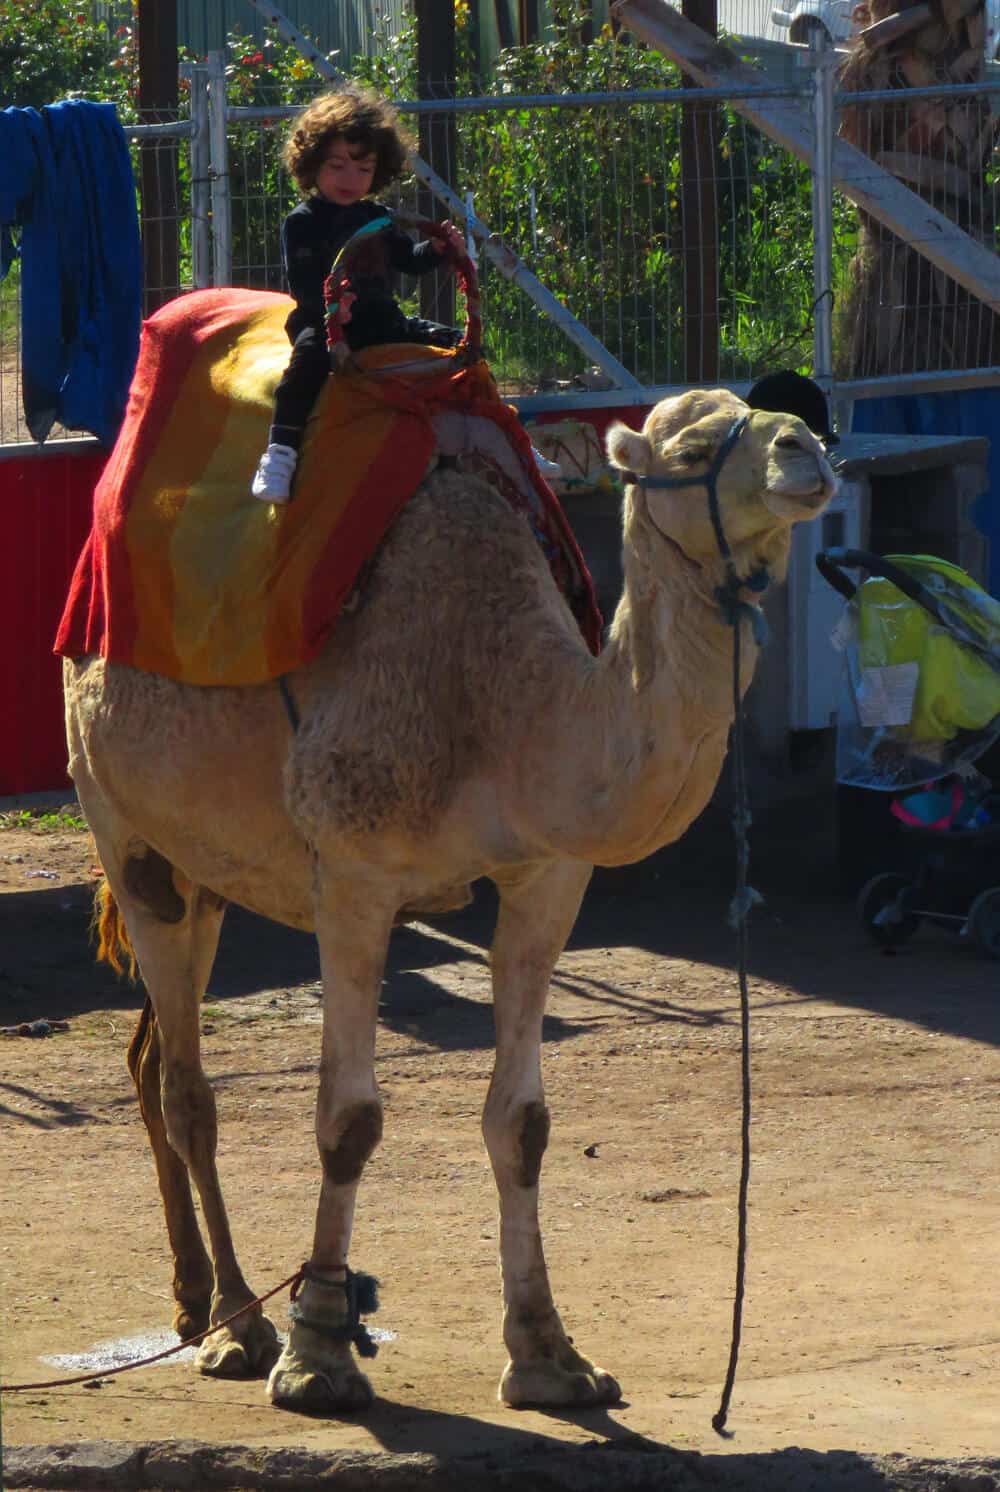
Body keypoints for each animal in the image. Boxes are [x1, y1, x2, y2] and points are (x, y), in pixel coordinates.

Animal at [62, 384, 835, 1408]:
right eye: (694, 446)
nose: (808, 450)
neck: (504, 707)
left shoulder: (549, 877)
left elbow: (524, 1124)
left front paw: (551, 1356)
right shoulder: (355, 874)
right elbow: (348, 1120)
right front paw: (320, 1350)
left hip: (202, 865)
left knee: (153, 1056)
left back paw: (193, 1301)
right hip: (117, 822)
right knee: (189, 1085)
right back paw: (237, 1325)